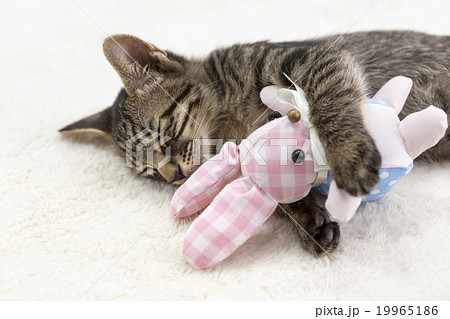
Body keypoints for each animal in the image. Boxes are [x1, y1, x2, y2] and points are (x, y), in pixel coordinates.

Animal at [60, 30, 450, 255]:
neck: (227, 118)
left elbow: (331, 105)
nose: (172, 176)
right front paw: (308, 218)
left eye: (163, 137)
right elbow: (278, 186)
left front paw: (349, 156)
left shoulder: (314, 60)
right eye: (148, 173)